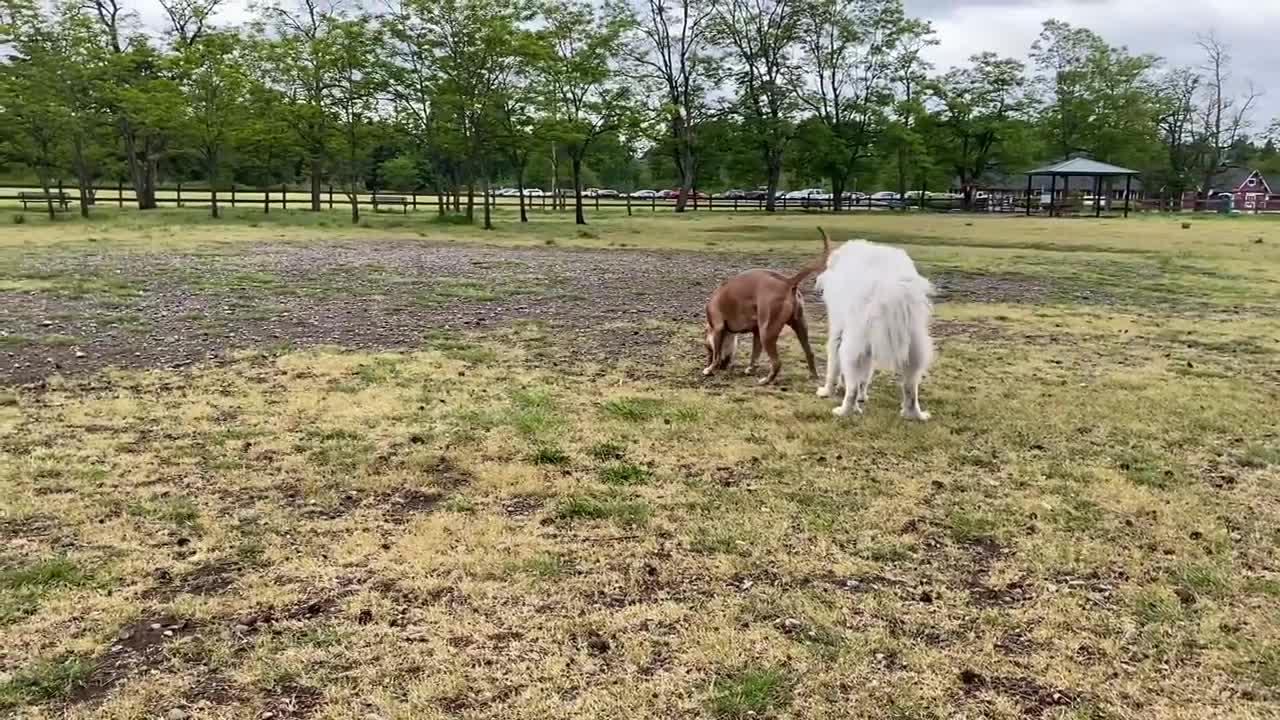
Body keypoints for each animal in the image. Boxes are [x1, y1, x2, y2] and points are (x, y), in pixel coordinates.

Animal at [701, 229, 829, 384]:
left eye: (707, 348)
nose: (707, 361)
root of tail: (787, 281)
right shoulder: (756, 332)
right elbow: (755, 354)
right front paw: (750, 369)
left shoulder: (718, 327)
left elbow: (717, 355)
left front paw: (710, 369)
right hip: (799, 325)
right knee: (809, 352)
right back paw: (813, 375)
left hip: (767, 331)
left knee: (777, 362)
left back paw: (767, 380)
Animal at [814, 239, 936, 417]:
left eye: (827, 266)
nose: (818, 280)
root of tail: (890, 286)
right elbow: (865, 376)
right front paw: (863, 396)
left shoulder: (837, 331)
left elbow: (833, 368)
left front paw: (826, 391)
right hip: (914, 348)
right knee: (910, 389)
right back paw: (913, 414)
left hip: (851, 347)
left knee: (851, 388)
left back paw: (844, 411)